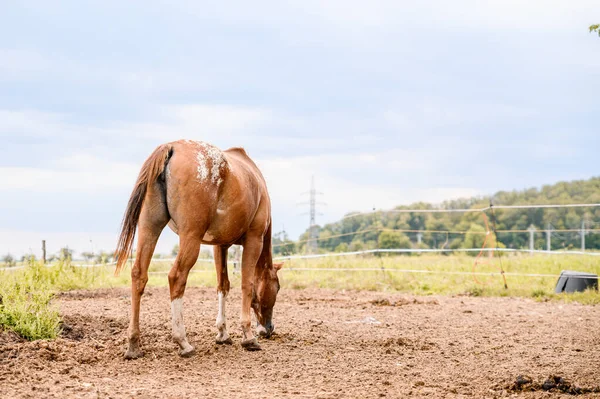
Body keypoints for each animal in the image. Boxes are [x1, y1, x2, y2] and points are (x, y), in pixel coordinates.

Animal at [114, 141, 282, 360]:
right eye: (277, 287)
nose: (268, 328)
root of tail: (172, 147)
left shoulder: (220, 246)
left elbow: (223, 285)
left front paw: (223, 334)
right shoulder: (254, 240)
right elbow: (247, 284)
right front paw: (248, 336)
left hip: (149, 228)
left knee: (139, 275)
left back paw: (134, 344)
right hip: (190, 238)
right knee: (176, 277)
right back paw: (183, 342)